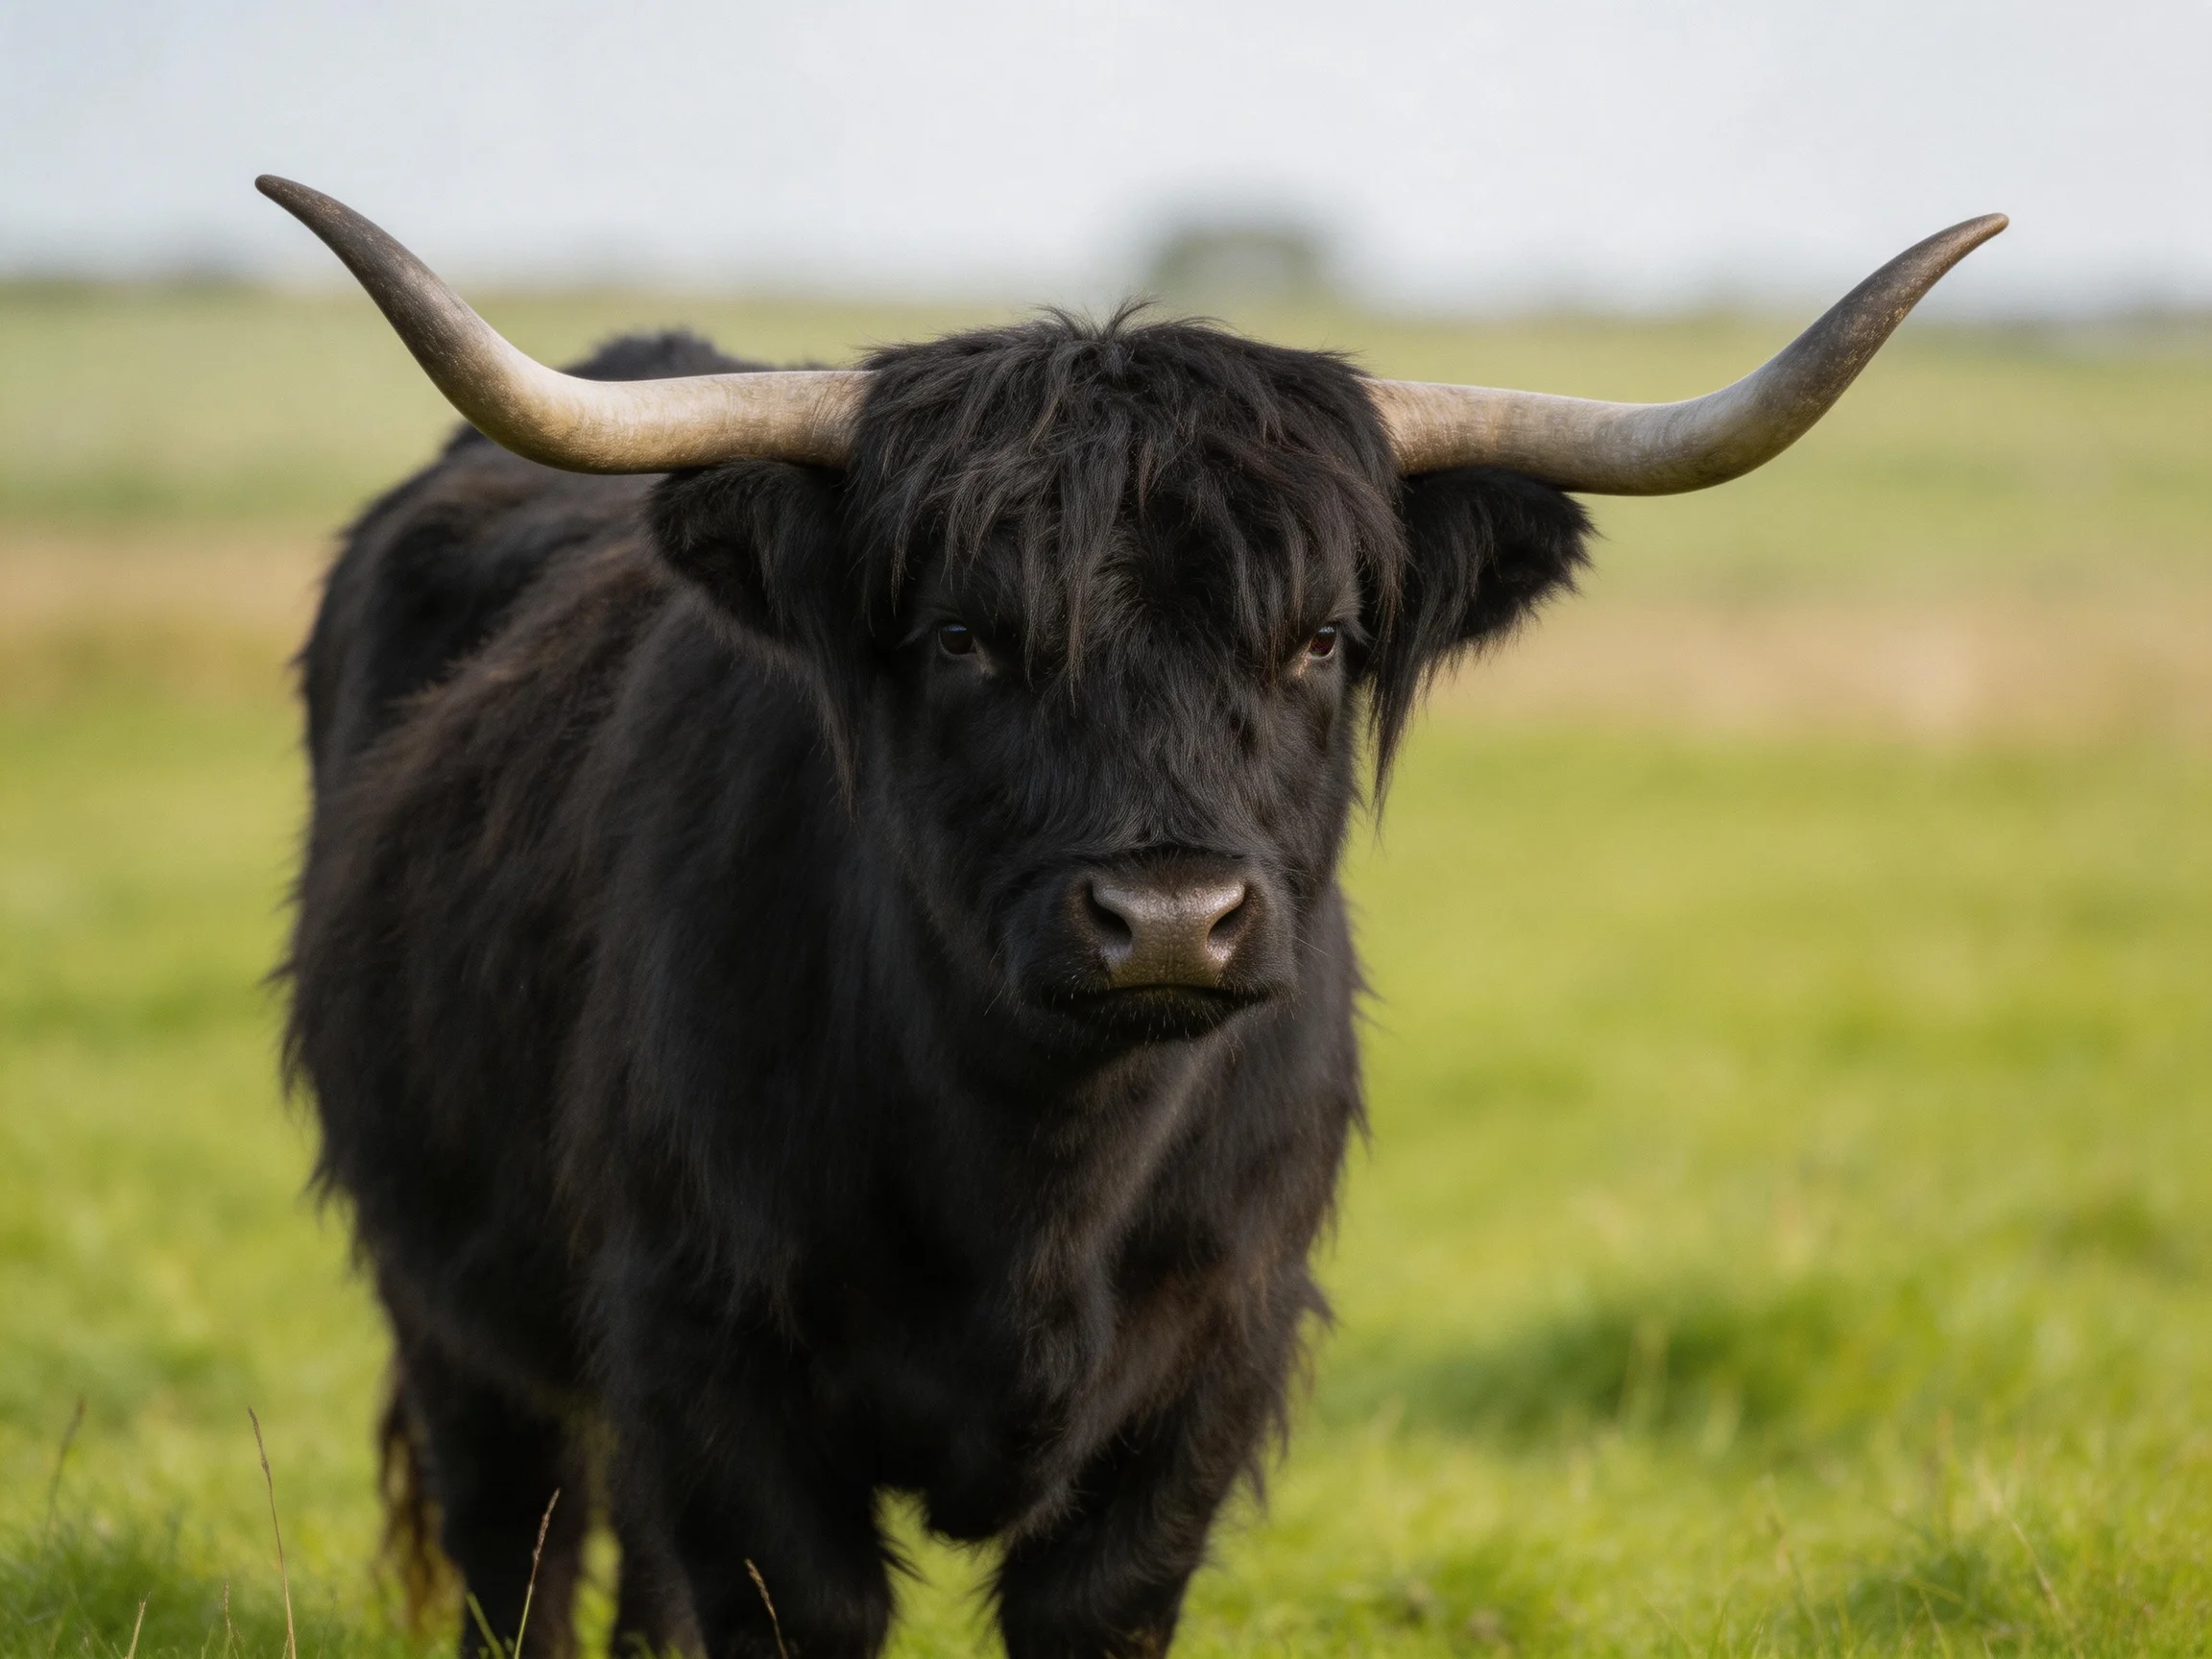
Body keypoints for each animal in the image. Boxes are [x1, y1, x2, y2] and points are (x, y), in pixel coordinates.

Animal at [265, 177, 2001, 1659]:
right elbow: (786, 1600)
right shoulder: (706, 1345)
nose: (1168, 918)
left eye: (1319, 639)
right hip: (455, 1308)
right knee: (522, 1547)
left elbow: (1089, 1602)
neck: (1038, 1187)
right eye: (960, 636)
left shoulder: (1210, 1364)